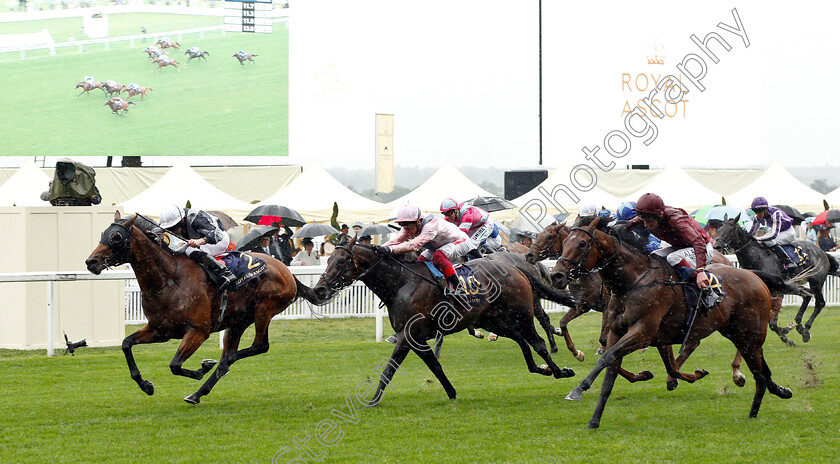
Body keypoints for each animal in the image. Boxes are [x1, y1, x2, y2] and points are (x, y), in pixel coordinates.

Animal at [84, 212, 302, 404]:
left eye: (116, 237)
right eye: (103, 233)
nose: (91, 262)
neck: (169, 280)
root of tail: (286, 270)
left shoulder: (198, 332)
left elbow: (174, 365)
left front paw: (201, 369)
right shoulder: (160, 331)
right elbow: (126, 344)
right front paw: (146, 385)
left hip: (264, 310)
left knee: (256, 347)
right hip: (238, 321)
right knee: (229, 357)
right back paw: (197, 394)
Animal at [302, 237, 576, 404]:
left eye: (340, 260)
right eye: (327, 259)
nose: (321, 289)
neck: (401, 282)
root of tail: (516, 268)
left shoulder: (408, 336)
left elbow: (389, 369)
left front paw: (372, 401)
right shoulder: (415, 338)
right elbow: (434, 366)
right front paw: (451, 392)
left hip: (520, 314)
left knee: (538, 342)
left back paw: (560, 371)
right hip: (493, 321)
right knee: (521, 341)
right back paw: (541, 368)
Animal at [552, 219, 796, 430]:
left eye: (582, 243)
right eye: (564, 243)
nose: (557, 275)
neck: (633, 281)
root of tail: (754, 276)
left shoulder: (642, 333)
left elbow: (606, 358)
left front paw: (578, 389)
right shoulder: (620, 333)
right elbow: (610, 374)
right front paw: (594, 420)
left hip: (750, 335)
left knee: (759, 373)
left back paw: (753, 405)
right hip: (739, 335)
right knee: (762, 370)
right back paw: (776, 393)